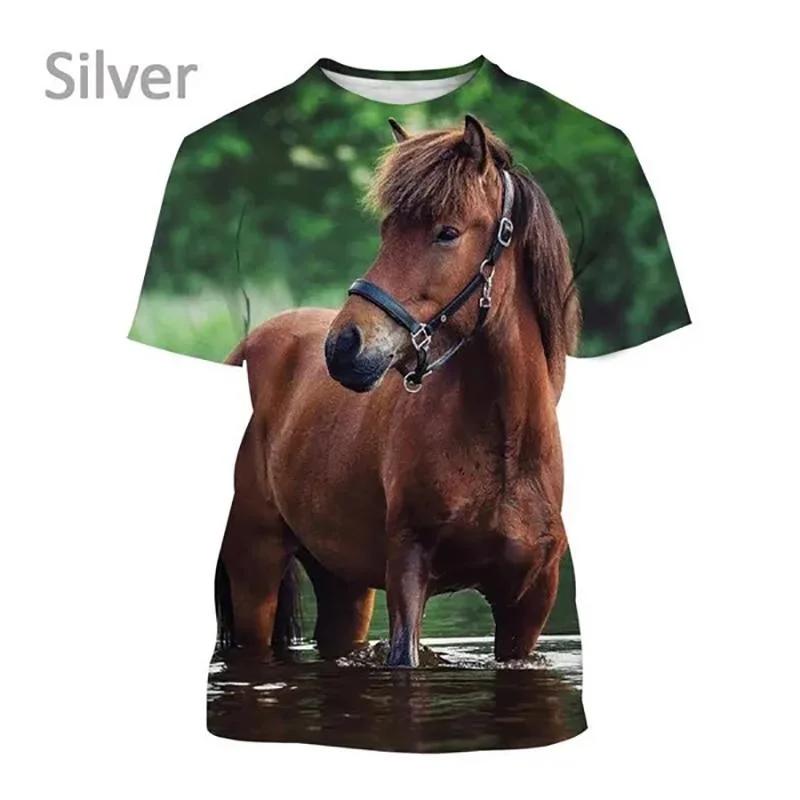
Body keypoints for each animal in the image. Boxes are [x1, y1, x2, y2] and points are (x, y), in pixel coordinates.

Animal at [216, 115, 580, 667]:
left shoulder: (529, 603)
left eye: (447, 233)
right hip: (254, 565)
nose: (344, 346)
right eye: (387, 230)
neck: (502, 446)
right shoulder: (409, 572)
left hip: (343, 584)